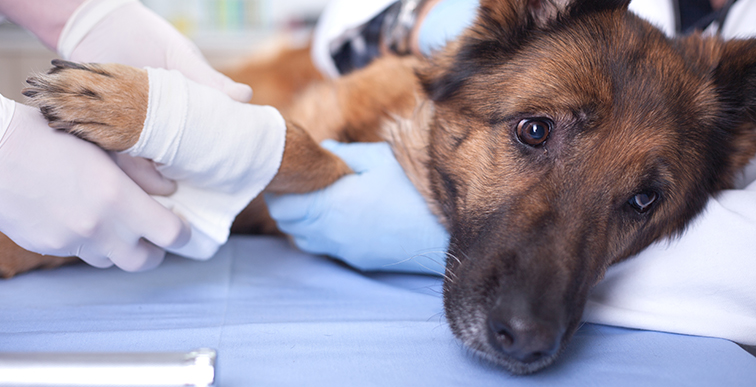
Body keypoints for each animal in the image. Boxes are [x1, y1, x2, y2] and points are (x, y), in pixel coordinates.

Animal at [8, 0, 756, 376]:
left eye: (643, 202)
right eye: (535, 130)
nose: (527, 342)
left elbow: (293, 149)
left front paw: (141, 112)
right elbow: (288, 132)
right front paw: (134, 106)